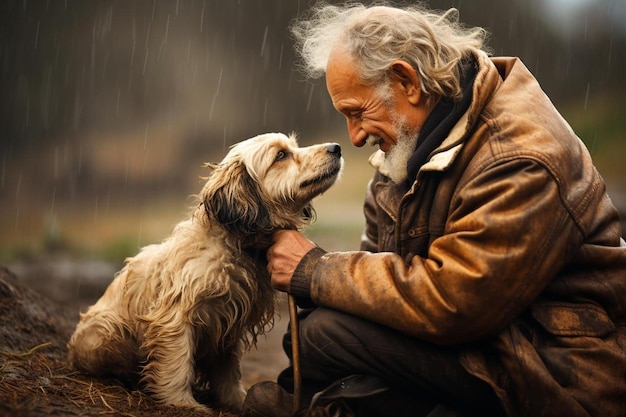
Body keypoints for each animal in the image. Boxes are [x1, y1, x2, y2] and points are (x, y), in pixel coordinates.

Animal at [67, 132, 342, 410]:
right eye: (281, 155)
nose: (336, 148)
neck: (234, 244)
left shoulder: (230, 324)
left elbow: (228, 371)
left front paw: (236, 400)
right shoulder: (177, 318)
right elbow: (177, 365)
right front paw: (183, 403)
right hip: (105, 332)